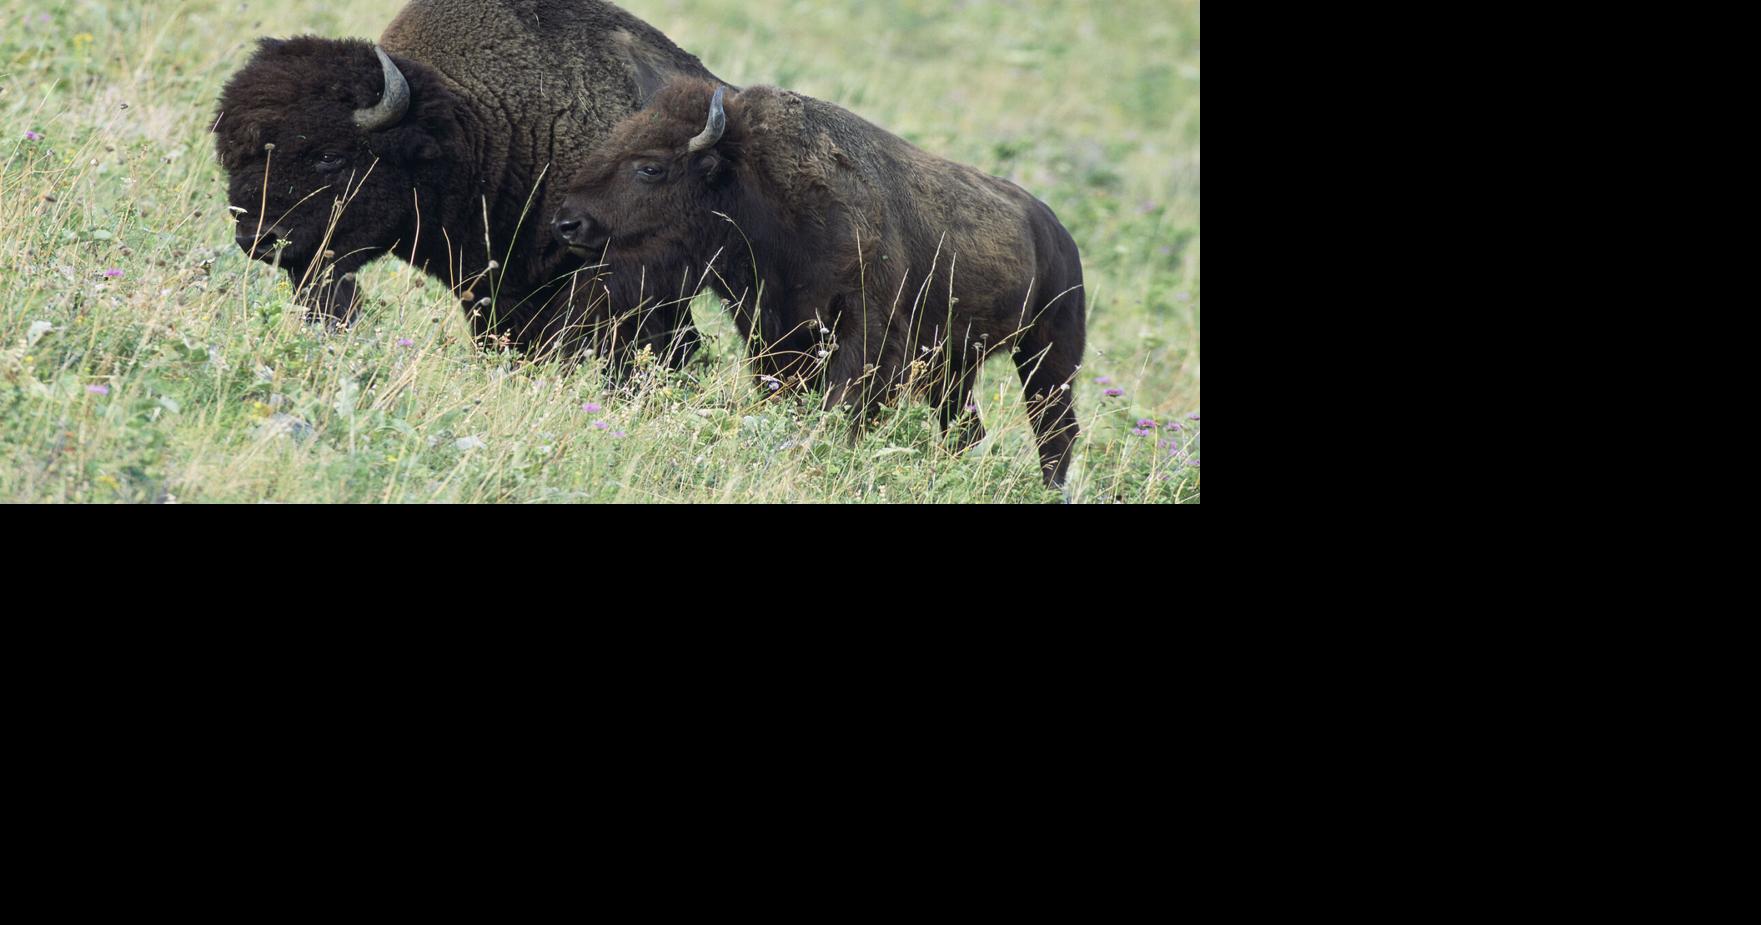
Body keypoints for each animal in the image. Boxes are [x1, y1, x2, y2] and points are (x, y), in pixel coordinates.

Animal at [553, 79, 1087, 485]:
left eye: (651, 167)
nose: (568, 223)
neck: (761, 193)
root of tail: (1057, 232)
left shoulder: (867, 332)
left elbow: (843, 406)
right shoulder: (774, 333)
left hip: (1048, 354)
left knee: (1055, 432)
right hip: (955, 368)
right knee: (966, 430)